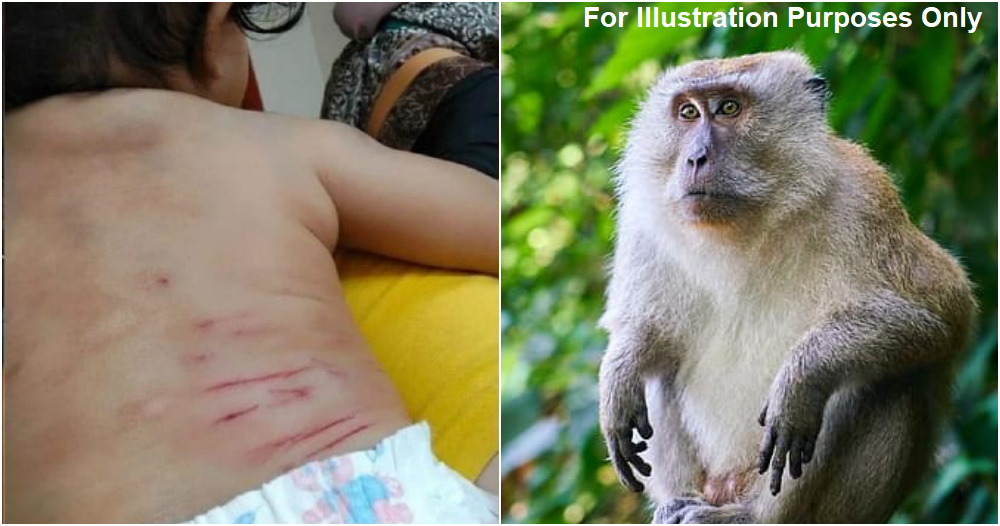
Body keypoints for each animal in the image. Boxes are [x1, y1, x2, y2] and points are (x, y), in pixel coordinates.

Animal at [597, 51, 976, 523]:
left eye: (729, 108)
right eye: (687, 113)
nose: (695, 158)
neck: (750, 221)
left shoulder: (864, 200)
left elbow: (944, 313)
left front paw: (802, 377)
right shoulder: (643, 221)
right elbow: (644, 329)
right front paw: (619, 374)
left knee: (884, 380)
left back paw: (754, 514)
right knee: (664, 362)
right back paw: (678, 503)